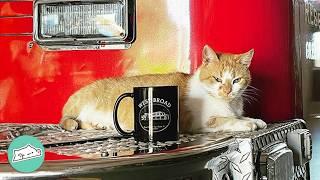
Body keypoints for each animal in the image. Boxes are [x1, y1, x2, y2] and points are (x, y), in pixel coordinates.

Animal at [60, 45, 268, 134]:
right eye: (217, 79)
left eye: (236, 80)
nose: (227, 91)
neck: (228, 104)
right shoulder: (198, 122)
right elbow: (226, 120)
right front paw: (245, 124)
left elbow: (239, 116)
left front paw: (253, 120)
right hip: (79, 106)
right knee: (67, 121)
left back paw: (99, 125)